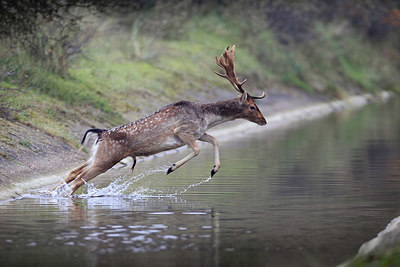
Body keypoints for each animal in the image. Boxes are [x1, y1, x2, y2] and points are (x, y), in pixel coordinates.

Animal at [52, 45, 266, 195]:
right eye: (252, 106)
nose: (264, 121)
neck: (206, 116)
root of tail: (100, 133)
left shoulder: (200, 132)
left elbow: (215, 139)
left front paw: (214, 170)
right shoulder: (182, 131)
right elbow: (197, 149)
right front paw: (171, 168)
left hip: (96, 156)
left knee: (72, 173)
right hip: (106, 159)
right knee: (78, 181)